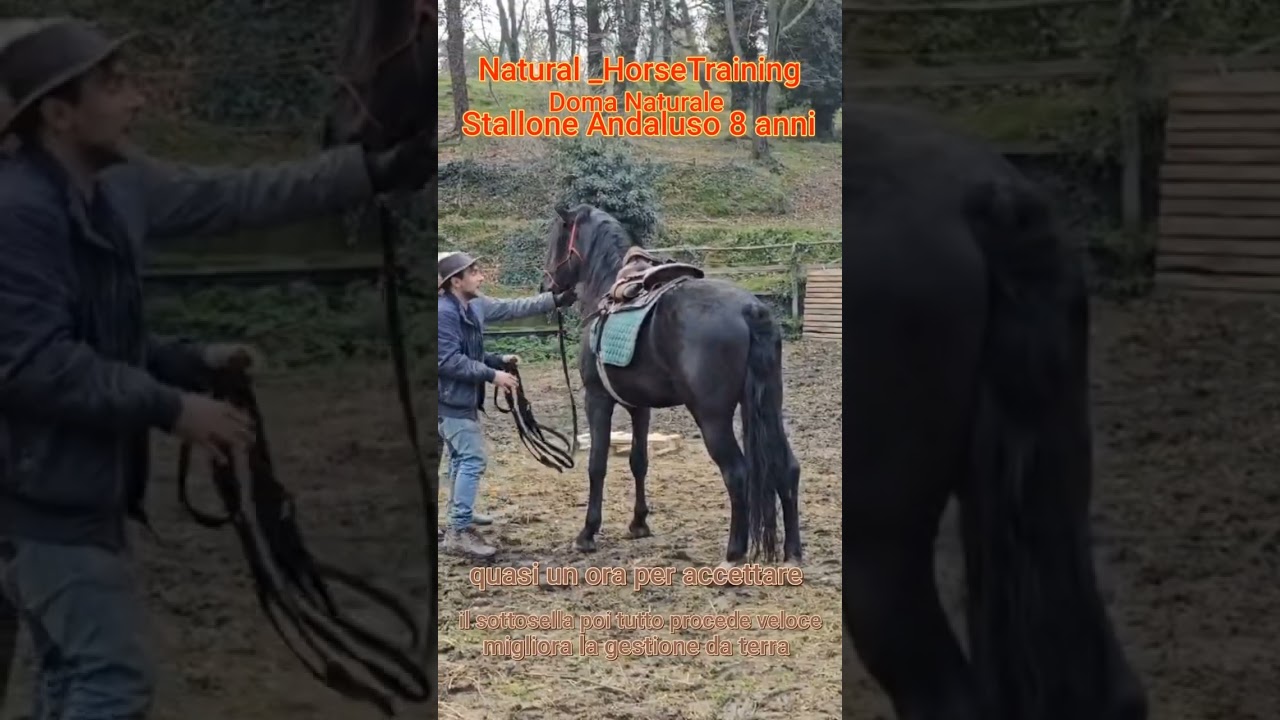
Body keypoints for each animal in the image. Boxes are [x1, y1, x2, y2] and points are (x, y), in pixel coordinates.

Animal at [539, 204, 802, 565]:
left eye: (556, 241)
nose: (547, 285)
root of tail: (750, 309)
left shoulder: (597, 399)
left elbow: (597, 464)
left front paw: (588, 533)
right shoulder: (640, 407)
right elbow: (639, 461)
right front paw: (638, 524)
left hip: (712, 417)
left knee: (737, 473)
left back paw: (734, 552)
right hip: (767, 407)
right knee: (787, 467)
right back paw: (793, 551)